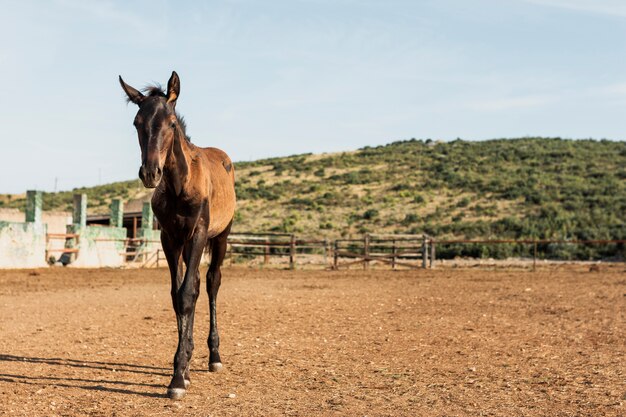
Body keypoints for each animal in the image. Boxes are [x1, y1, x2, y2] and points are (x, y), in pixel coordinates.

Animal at [117, 71, 234, 400]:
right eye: (136, 123)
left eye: (171, 123)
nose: (150, 173)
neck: (180, 184)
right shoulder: (170, 238)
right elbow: (177, 295)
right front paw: (183, 370)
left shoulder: (198, 233)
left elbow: (186, 295)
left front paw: (178, 379)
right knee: (194, 285)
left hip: (221, 236)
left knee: (211, 282)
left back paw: (214, 356)